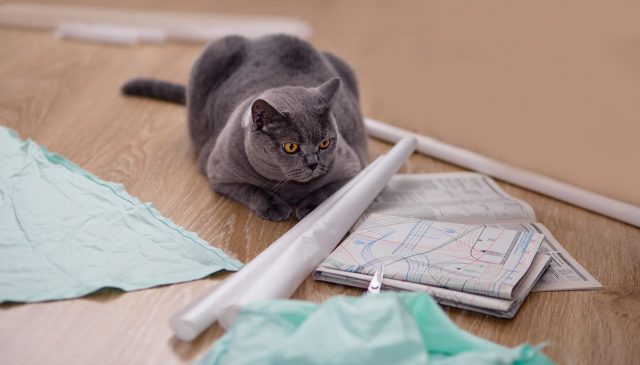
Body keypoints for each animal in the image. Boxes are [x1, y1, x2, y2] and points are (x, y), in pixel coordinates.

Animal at [122, 35, 368, 220]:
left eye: (325, 143)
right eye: (291, 147)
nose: (313, 163)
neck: (290, 189)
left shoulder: (353, 166)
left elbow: (328, 190)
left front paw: (311, 208)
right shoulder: (220, 173)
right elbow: (251, 189)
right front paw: (274, 206)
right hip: (213, 53)